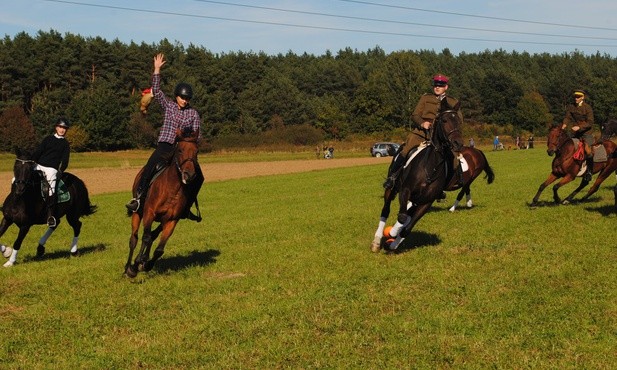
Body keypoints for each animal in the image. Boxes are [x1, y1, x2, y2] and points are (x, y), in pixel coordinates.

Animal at [124, 127, 201, 278]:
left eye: (196, 151)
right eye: (180, 150)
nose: (189, 175)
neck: (172, 190)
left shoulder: (172, 220)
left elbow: (159, 249)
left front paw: (146, 264)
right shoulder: (149, 213)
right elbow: (145, 237)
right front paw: (135, 266)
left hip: (162, 221)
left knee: (153, 235)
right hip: (138, 213)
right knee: (134, 239)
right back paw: (127, 268)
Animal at [370, 98, 462, 253]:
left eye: (459, 121)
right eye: (444, 120)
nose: (458, 143)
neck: (431, 167)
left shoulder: (426, 202)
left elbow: (407, 227)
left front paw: (394, 242)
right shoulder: (405, 191)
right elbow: (402, 217)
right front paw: (392, 233)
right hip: (391, 189)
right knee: (386, 210)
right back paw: (377, 241)